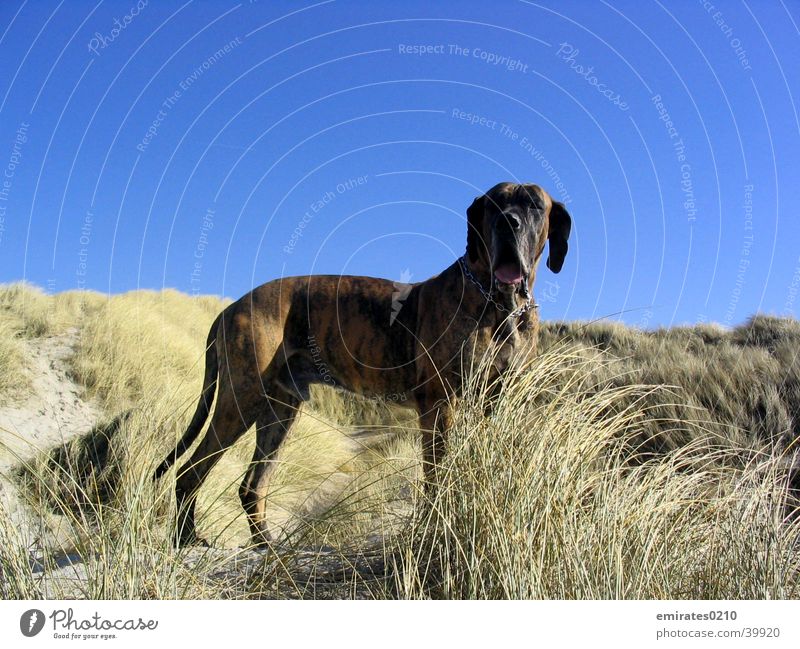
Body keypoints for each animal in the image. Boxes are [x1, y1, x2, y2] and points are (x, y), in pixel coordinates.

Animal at [155, 180, 568, 544]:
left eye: (533, 205)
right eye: (493, 205)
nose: (508, 222)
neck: (500, 305)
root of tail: (230, 309)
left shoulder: (498, 402)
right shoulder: (438, 405)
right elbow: (436, 474)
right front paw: (435, 524)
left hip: (279, 412)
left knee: (250, 486)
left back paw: (266, 546)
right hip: (241, 399)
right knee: (190, 471)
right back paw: (187, 539)